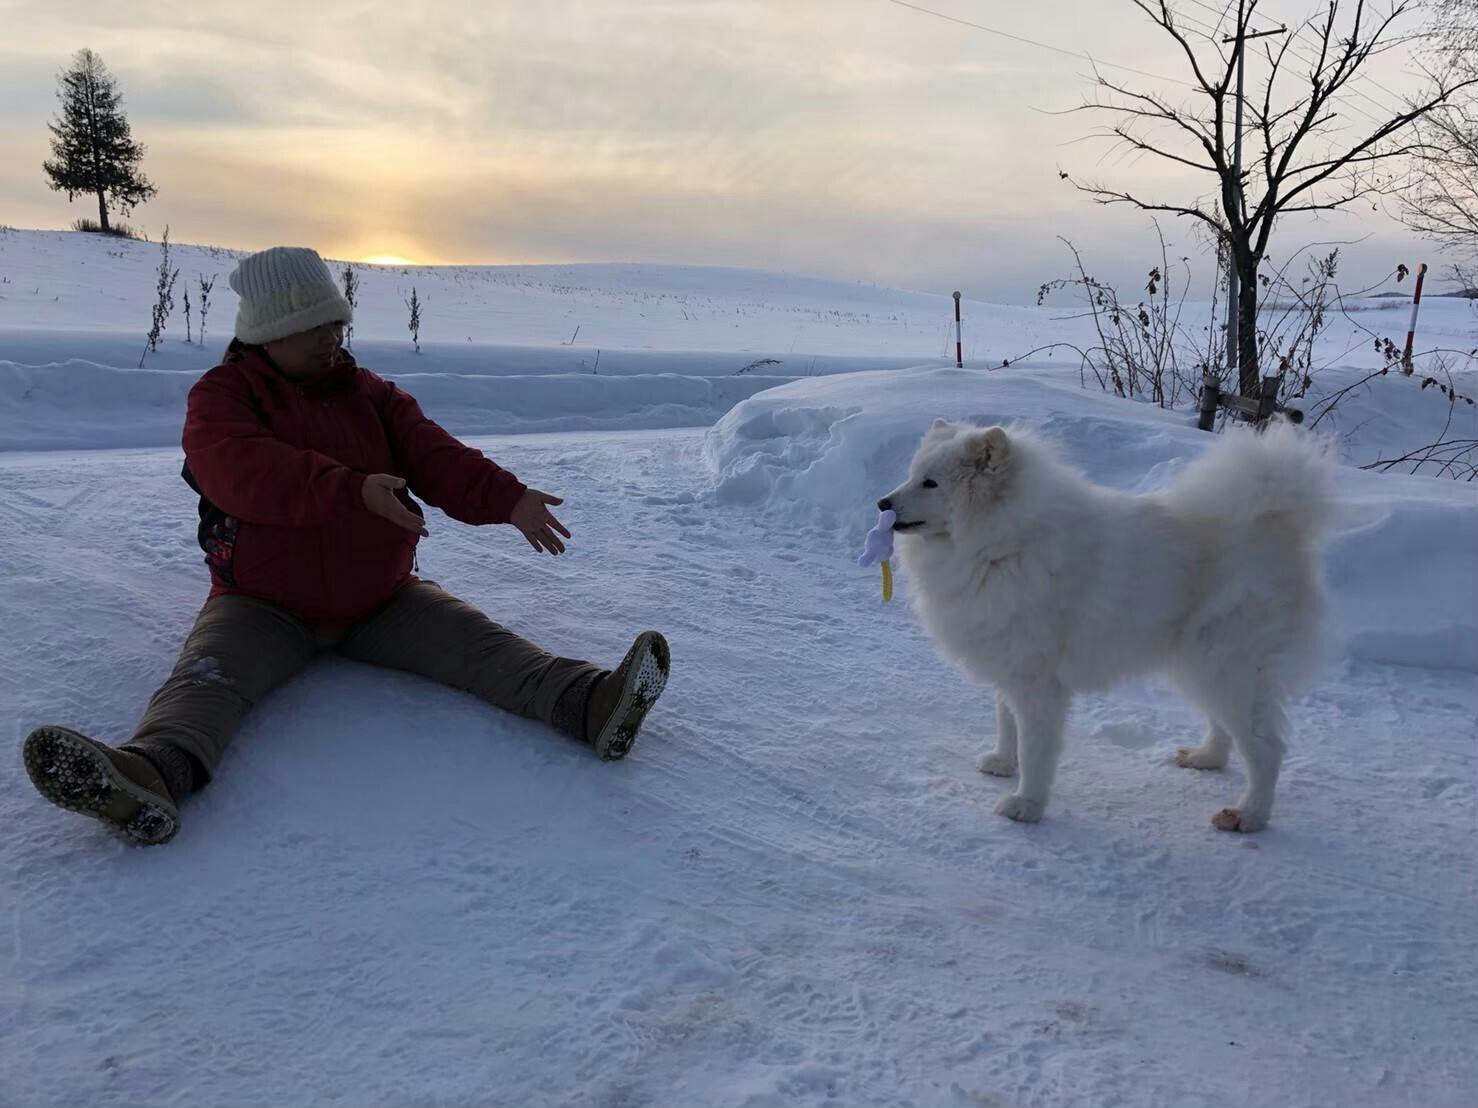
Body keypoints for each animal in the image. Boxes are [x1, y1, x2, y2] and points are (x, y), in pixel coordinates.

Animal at [882, 419, 1334, 832]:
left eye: (930, 483)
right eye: (913, 474)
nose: (882, 503)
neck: (1001, 543)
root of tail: (1278, 520)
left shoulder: (1037, 683)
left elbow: (1034, 747)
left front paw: (1026, 805)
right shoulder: (1008, 663)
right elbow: (1006, 722)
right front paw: (1002, 764)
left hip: (1228, 667)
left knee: (1266, 749)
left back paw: (1248, 815)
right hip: (1201, 666)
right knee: (1224, 729)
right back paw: (1205, 758)